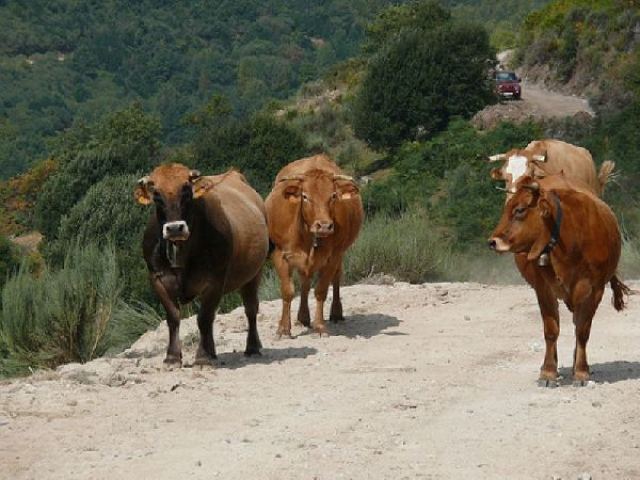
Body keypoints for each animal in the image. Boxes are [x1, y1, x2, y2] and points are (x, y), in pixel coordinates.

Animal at [134, 163, 268, 366]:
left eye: (186, 190)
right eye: (156, 194)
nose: (175, 228)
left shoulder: (216, 280)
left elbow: (204, 318)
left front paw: (203, 356)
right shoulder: (157, 278)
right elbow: (173, 317)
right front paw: (172, 357)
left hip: (254, 273)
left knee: (251, 308)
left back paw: (252, 348)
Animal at [264, 155, 364, 338]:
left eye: (333, 196)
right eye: (305, 196)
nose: (324, 226)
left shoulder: (333, 256)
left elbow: (321, 291)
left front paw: (320, 326)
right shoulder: (280, 254)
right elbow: (288, 291)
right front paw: (284, 328)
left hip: (340, 254)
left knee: (336, 279)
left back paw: (336, 313)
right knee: (305, 282)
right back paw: (303, 317)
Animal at [490, 173, 632, 386]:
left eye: (520, 210)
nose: (492, 241)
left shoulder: (595, 289)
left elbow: (582, 331)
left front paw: (581, 372)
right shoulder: (543, 288)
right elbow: (551, 330)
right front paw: (548, 372)